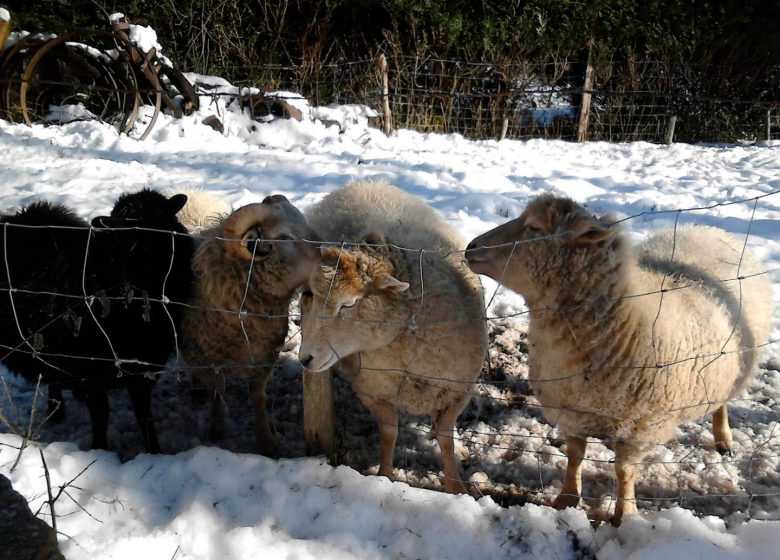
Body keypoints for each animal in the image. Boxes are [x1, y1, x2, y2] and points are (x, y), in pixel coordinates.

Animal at [0, 188, 194, 450]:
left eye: (159, 214)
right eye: (123, 218)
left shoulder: (142, 367)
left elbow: (143, 414)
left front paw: (154, 450)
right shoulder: (90, 371)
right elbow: (101, 415)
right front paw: (100, 450)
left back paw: (56, 411)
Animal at [181, 197, 320, 456]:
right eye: (283, 237)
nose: (331, 255)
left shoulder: (264, 357)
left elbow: (257, 397)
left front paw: (265, 441)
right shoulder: (209, 356)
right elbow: (218, 389)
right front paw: (216, 425)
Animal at [298, 180, 488, 494]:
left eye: (348, 304)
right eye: (311, 295)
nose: (305, 358)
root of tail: (362, 183)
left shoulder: (457, 391)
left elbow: (445, 439)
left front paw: (455, 487)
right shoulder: (372, 389)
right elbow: (389, 433)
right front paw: (385, 476)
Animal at [464, 194, 772, 524]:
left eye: (535, 227)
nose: (470, 247)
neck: (621, 320)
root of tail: (708, 230)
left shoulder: (641, 427)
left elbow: (624, 471)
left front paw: (625, 513)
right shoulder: (572, 410)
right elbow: (575, 457)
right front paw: (566, 499)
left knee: (722, 403)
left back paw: (723, 439)